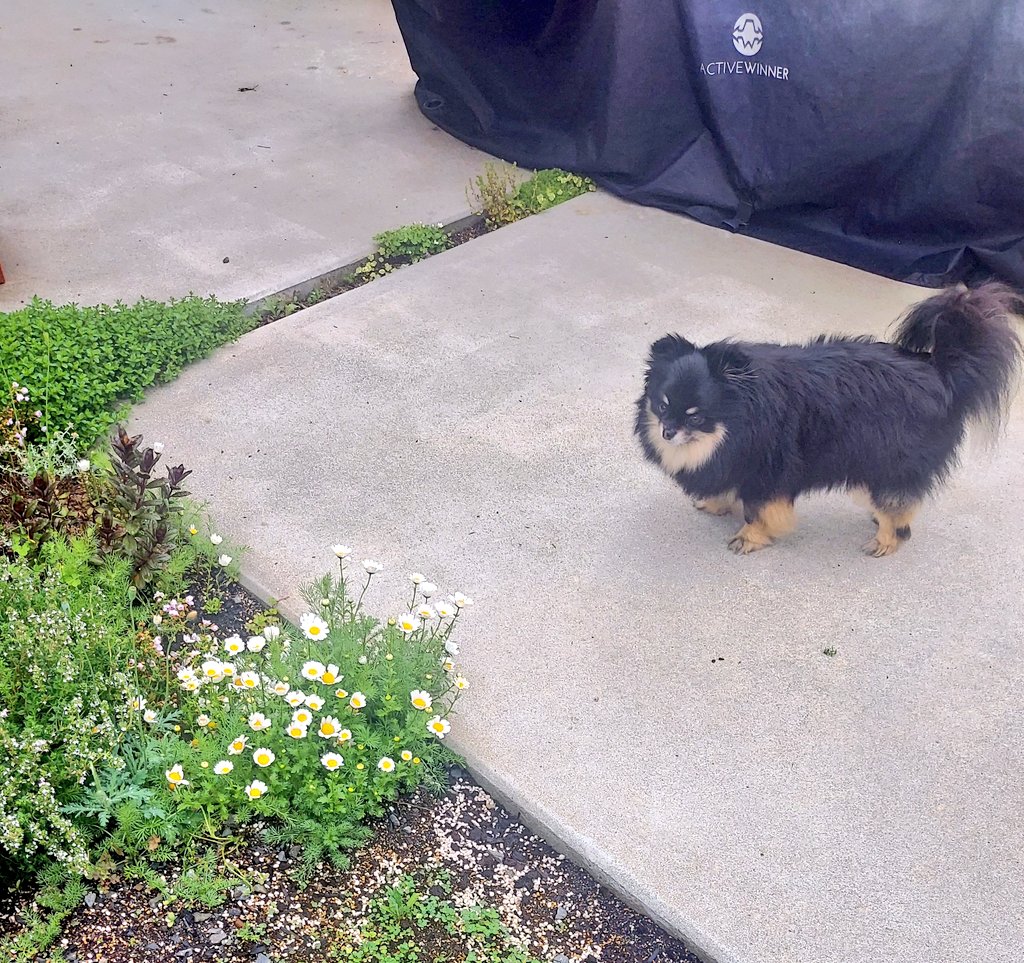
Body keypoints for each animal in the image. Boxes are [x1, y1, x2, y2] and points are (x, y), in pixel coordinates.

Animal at [634, 284, 1019, 557]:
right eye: (663, 405)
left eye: (695, 415)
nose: (667, 433)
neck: (741, 417)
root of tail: (941, 373)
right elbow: (729, 486)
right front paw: (716, 504)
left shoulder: (769, 473)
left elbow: (757, 511)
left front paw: (750, 537)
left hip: (886, 463)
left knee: (898, 508)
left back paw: (886, 539)